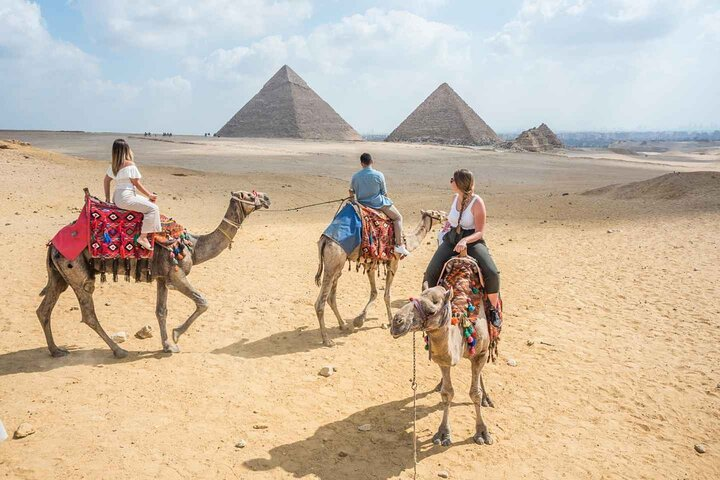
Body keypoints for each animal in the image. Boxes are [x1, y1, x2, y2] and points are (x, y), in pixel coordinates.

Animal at [37, 190, 270, 358]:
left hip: (58, 275)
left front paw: (167, 345)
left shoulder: (162, 277)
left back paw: (56, 350)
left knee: (44, 308)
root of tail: (52, 243)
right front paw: (176, 335)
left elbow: (161, 311)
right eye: (249, 195)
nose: (267, 198)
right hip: (75, 269)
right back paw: (118, 350)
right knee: (88, 313)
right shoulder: (176, 275)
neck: (193, 246)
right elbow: (203, 302)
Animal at [314, 208, 445, 347]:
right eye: (437, 213)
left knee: (331, 298)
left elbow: (374, 292)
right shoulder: (393, 263)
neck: (407, 241)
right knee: (320, 303)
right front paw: (390, 321)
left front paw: (359, 320)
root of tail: (324, 240)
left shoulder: (370, 263)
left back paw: (343, 325)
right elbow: (387, 295)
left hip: (338, 266)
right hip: (333, 264)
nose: (446, 216)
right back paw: (327, 340)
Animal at [390, 284, 494, 447]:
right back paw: (439, 384)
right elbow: (447, 393)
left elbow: (475, 393)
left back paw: (486, 399)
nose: (397, 321)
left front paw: (482, 433)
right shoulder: (443, 359)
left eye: (431, 311)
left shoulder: (480, 354)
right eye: (414, 298)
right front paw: (443, 434)